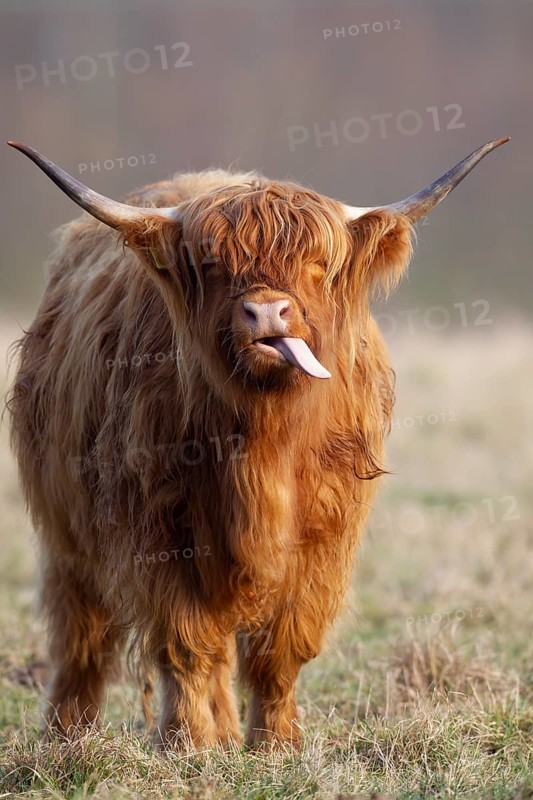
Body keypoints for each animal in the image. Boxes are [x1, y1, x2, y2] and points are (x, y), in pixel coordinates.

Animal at [7, 137, 508, 748]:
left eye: (317, 264)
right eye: (213, 264)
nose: (268, 311)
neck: (264, 447)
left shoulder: (323, 537)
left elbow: (281, 650)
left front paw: (276, 745)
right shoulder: (160, 530)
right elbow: (185, 644)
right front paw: (190, 744)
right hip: (67, 533)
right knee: (81, 636)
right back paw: (68, 733)